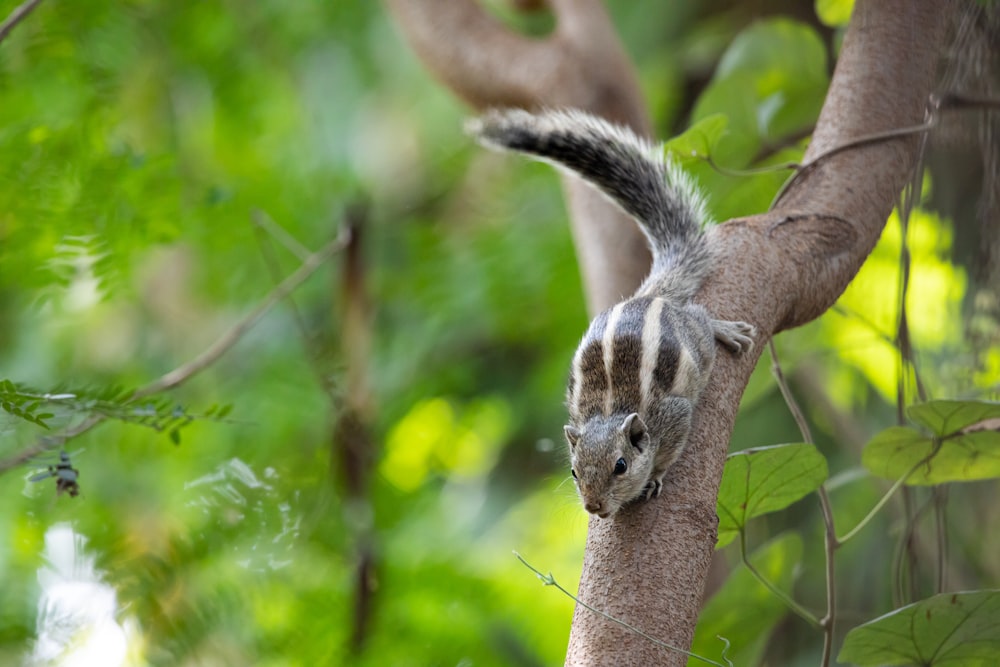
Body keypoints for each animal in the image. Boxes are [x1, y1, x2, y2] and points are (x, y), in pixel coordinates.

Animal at [466, 109, 752, 520]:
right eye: (573, 471)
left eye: (621, 465)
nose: (594, 507)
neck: (610, 411)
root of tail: (649, 295)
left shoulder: (674, 415)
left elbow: (669, 449)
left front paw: (655, 477)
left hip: (695, 340)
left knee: (700, 317)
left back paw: (724, 330)